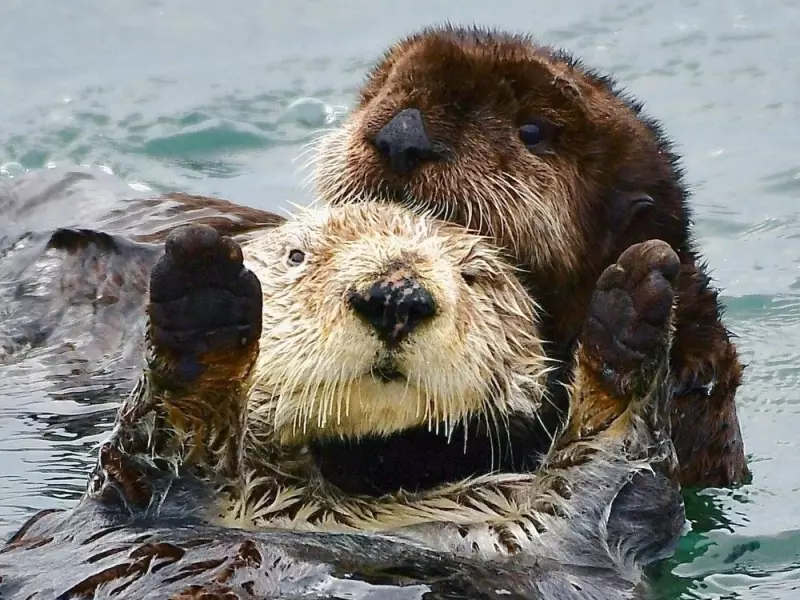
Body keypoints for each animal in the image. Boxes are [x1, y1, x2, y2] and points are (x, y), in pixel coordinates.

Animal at [1, 201, 684, 599]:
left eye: (475, 277)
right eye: (298, 256)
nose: (395, 294)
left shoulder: (549, 542)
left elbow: (610, 478)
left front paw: (631, 315)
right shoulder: (147, 497)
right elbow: (158, 445)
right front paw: (202, 291)